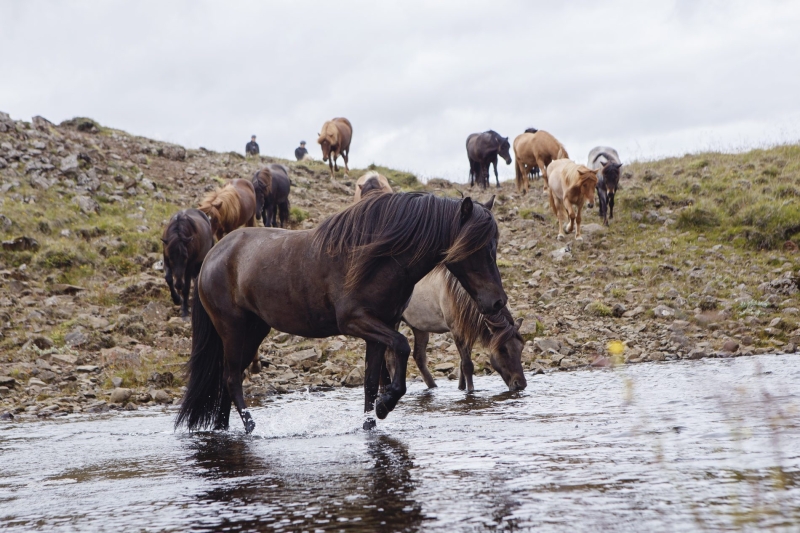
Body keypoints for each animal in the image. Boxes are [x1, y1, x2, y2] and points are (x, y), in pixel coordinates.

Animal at [177, 193, 506, 434]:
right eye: (475, 247)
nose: (497, 303)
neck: (379, 258)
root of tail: (213, 255)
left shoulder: (380, 327)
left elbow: (372, 381)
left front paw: (371, 421)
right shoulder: (355, 321)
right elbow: (401, 347)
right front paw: (386, 404)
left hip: (253, 331)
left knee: (225, 381)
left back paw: (223, 429)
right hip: (233, 330)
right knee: (232, 378)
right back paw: (249, 427)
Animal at [398, 262, 524, 390]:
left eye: (521, 348)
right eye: (502, 349)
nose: (520, 384)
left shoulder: (466, 330)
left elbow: (462, 363)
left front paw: (461, 388)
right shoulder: (457, 331)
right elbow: (467, 365)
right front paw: (470, 390)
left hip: (419, 327)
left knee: (419, 357)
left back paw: (433, 387)